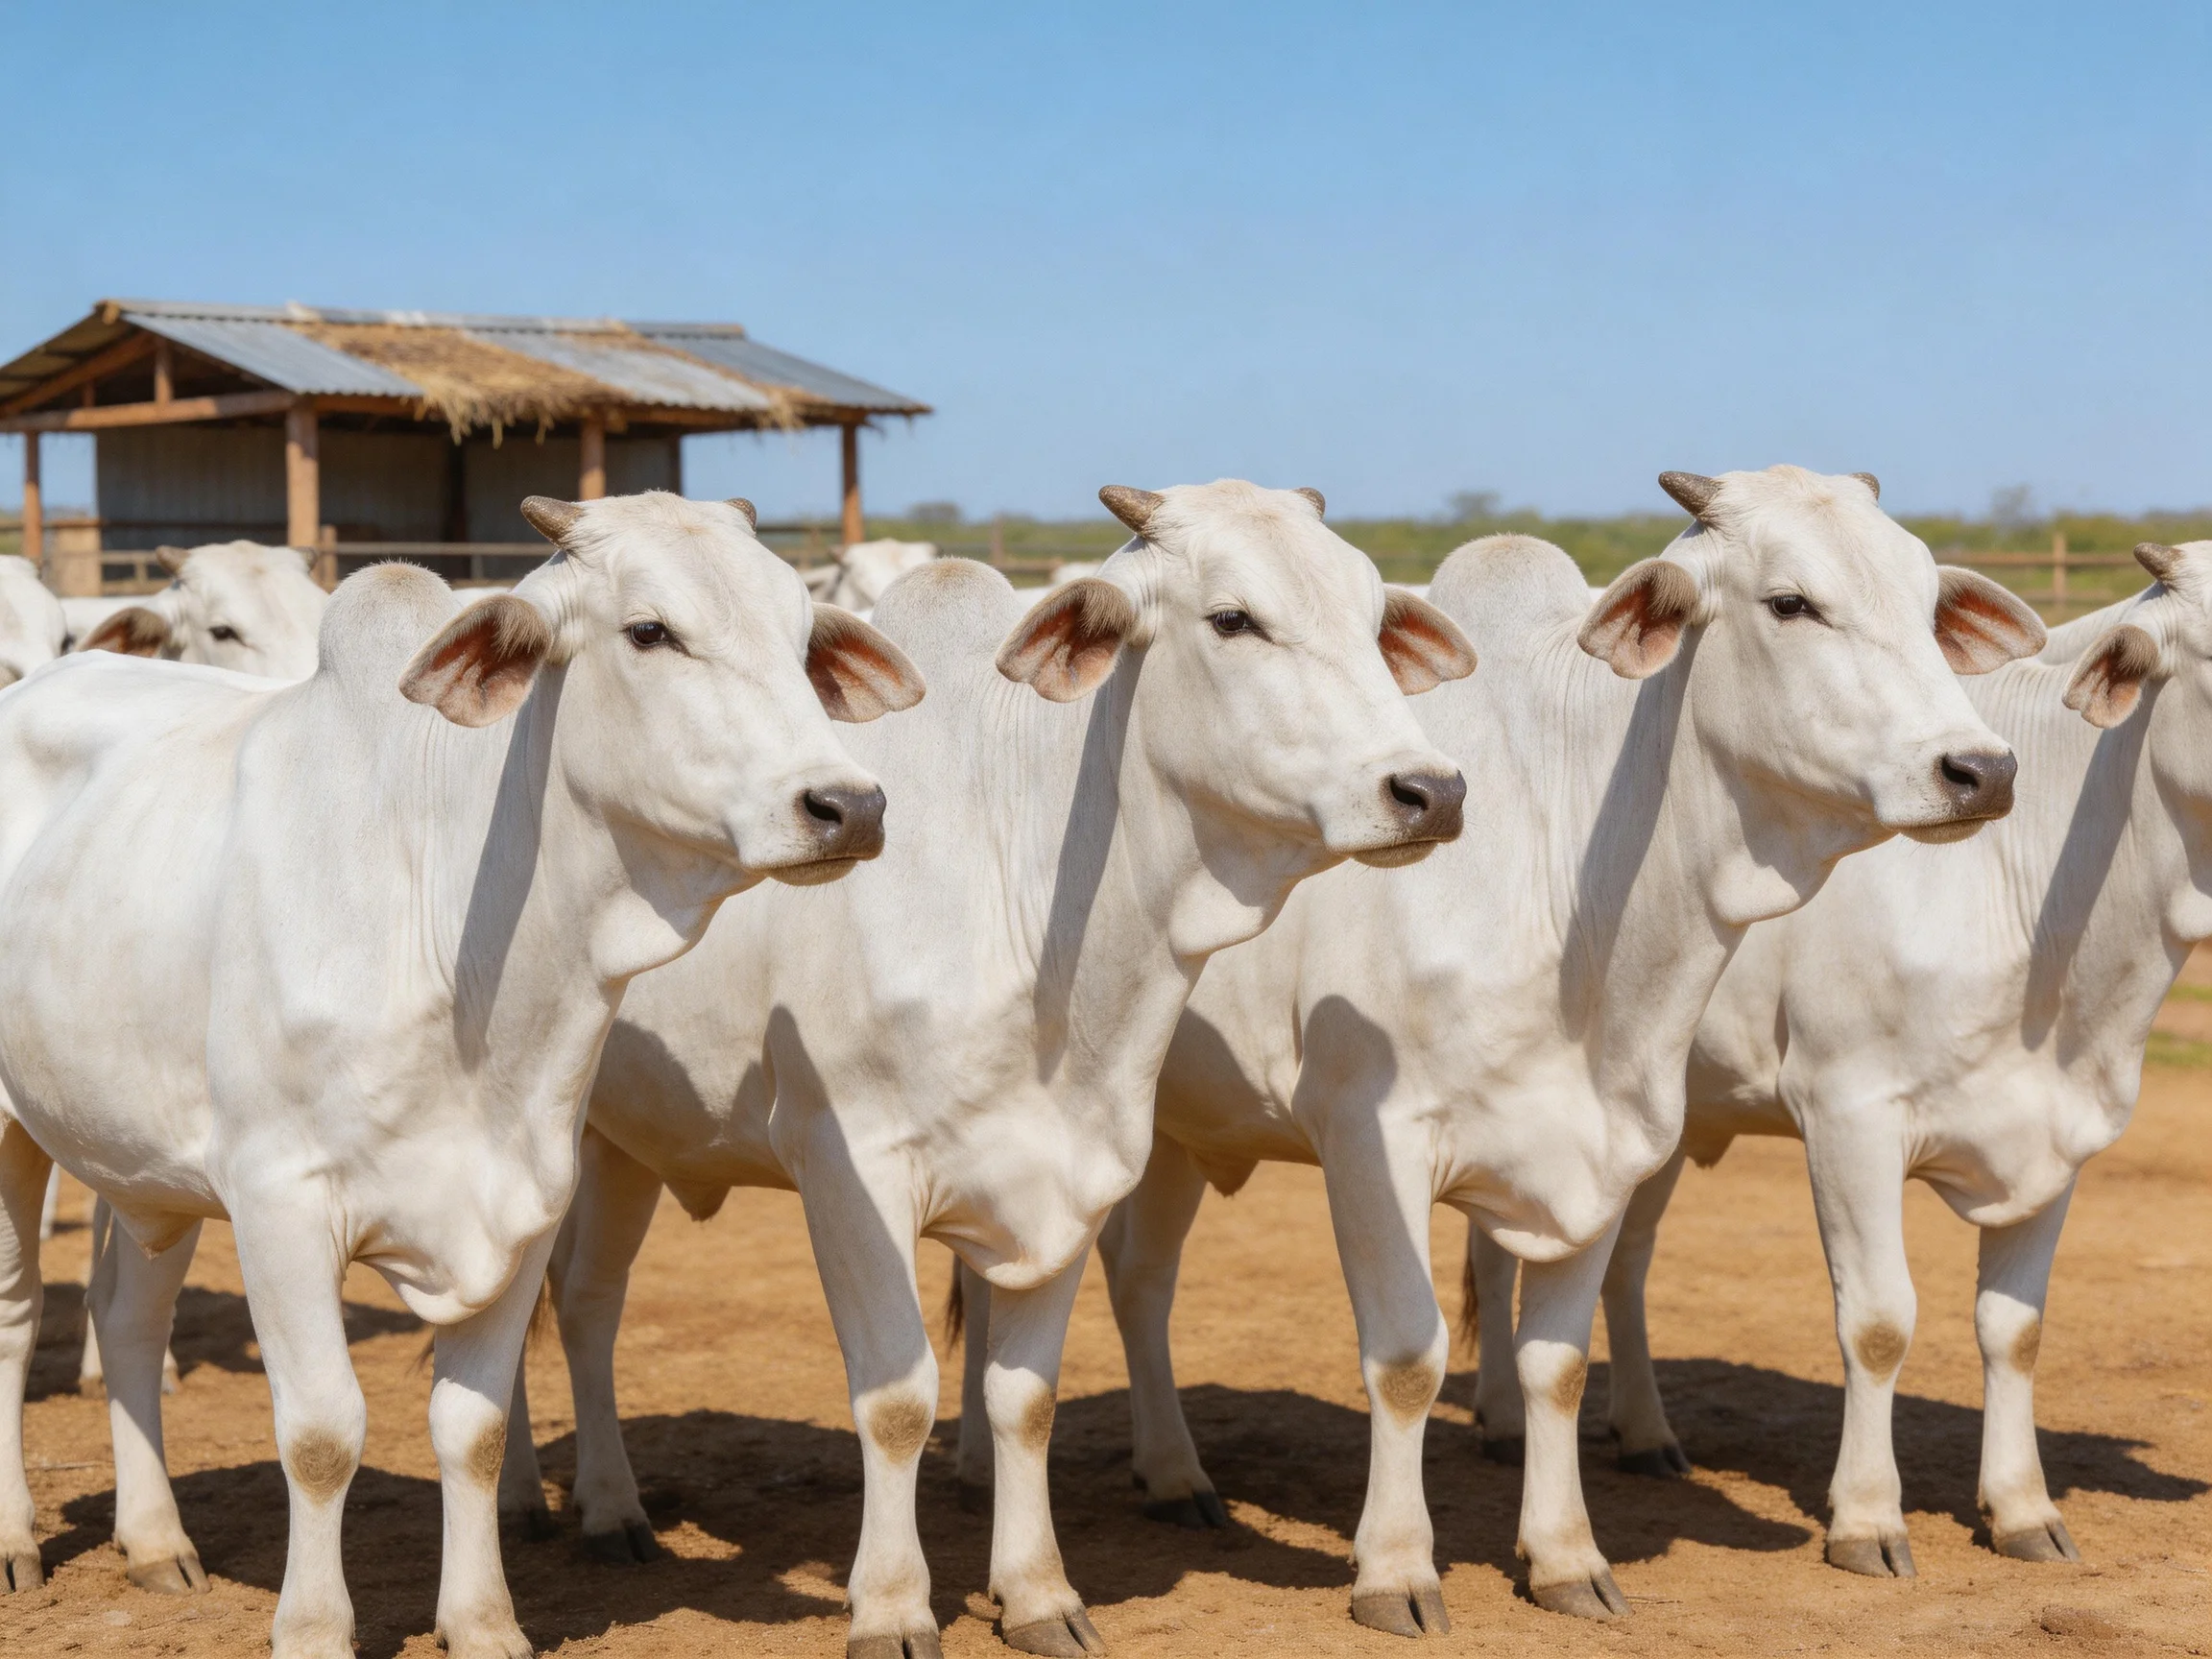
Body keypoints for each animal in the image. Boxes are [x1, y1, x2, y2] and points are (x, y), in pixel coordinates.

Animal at [0, 491, 923, 1659]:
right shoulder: (277, 1205)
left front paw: (483, 1622)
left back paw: (156, 1540)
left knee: (126, 1320)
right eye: (649, 631)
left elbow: (472, 1428)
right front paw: (314, 1629)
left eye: (804, 640)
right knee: (16, 1318)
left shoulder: (523, 1200)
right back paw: (16, 1540)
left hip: (145, 1172)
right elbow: (322, 1433)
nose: (849, 805)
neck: (453, 941)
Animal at [487, 480, 1477, 1658]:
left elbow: (1024, 1396)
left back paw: (600, 1505)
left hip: (624, 1141)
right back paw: (540, 1503)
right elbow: (895, 1397)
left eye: (1375, 622)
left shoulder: (1076, 1166)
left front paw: (1040, 1593)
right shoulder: (848, 1167)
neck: (1027, 907)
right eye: (1232, 619)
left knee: (586, 1304)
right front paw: (893, 1605)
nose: (1429, 790)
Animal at [1052, 467, 2044, 1633]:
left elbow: (1557, 1363)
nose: (1980, 770)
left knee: (1138, 1279)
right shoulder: (1370, 1139)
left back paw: (1160, 1473)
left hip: (1175, 1128)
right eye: (1791, 602)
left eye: (1930, 604)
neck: (1564, 883)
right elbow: (1406, 1358)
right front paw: (1397, 1569)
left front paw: (1566, 1556)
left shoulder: (1607, 1138)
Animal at [1570, 538, 2212, 1580]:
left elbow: (2014, 1329)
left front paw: (2022, 1508)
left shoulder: (2059, 1138)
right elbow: (1878, 1322)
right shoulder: (1849, 1116)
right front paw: (1868, 1518)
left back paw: (1643, 1432)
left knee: (1622, 1260)